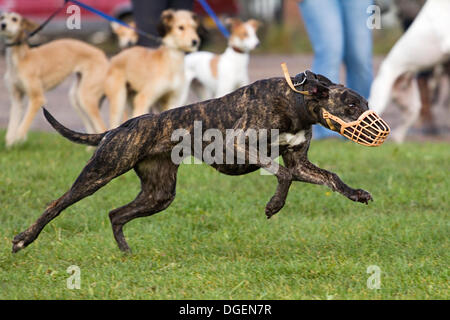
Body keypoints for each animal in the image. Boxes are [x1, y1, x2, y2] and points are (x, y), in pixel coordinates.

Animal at [0, 11, 109, 147]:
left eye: (14, 19)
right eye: (2, 17)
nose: (3, 25)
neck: (21, 58)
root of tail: (102, 55)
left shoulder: (37, 98)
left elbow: (23, 125)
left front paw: (19, 140)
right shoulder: (16, 98)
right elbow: (12, 126)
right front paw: (10, 145)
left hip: (86, 97)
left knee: (101, 126)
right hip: (76, 98)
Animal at [12, 69, 388, 254]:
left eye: (364, 103)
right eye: (351, 105)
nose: (381, 131)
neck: (296, 103)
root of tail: (124, 125)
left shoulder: (299, 162)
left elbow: (328, 177)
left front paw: (356, 194)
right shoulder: (240, 144)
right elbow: (282, 175)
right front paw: (274, 205)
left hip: (160, 194)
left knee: (115, 214)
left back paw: (125, 252)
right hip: (100, 172)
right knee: (57, 204)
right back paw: (23, 239)